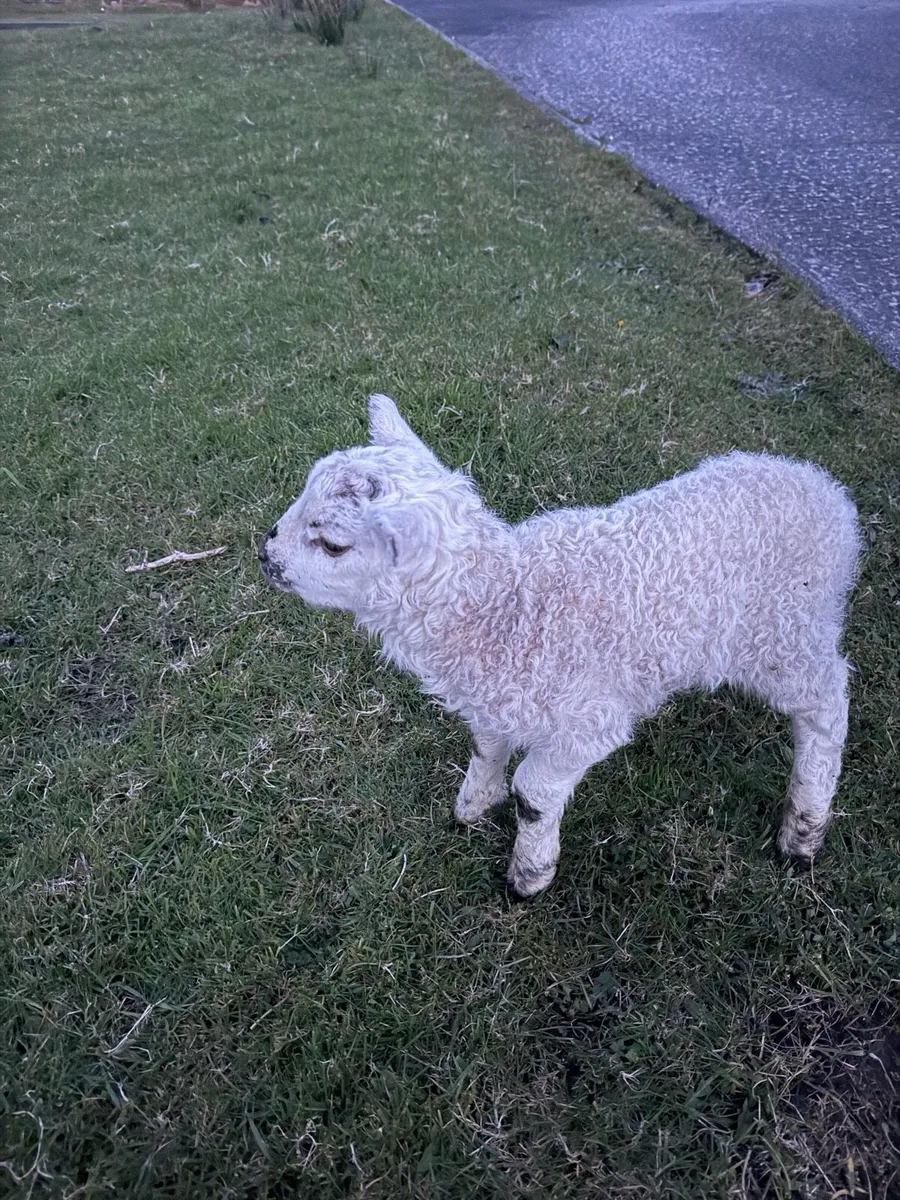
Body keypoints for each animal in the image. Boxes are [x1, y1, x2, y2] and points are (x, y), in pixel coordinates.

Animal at [259, 394, 861, 897]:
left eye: (332, 544)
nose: (265, 554)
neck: (508, 609)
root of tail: (829, 495)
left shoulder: (588, 723)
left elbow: (533, 794)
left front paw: (528, 876)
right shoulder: (498, 698)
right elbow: (486, 747)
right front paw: (473, 806)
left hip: (783, 632)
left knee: (827, 703)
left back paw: (803, 830)